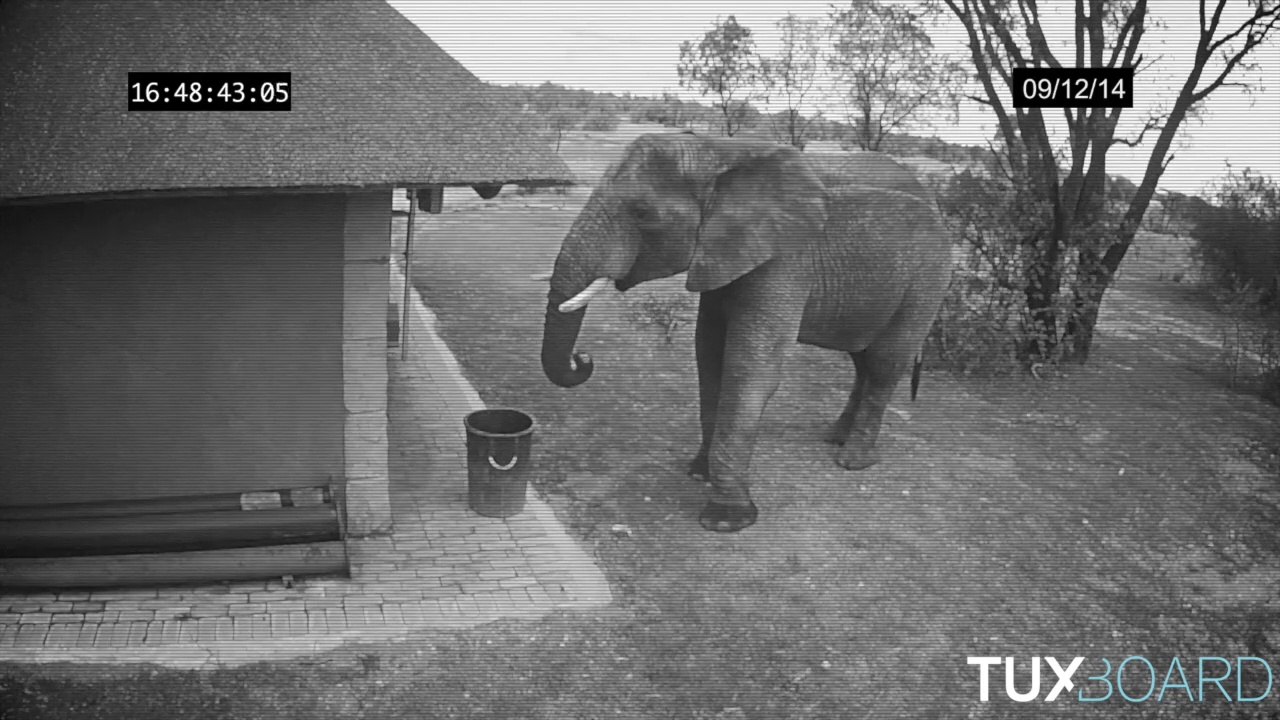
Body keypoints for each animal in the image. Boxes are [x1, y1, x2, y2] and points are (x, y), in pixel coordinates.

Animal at [538, 131, 952, 533]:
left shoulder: (784, 262)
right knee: (861, 360)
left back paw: (851, 461)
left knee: (883, 362)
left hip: (927, 284)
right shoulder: (722, 257)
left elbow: (748, 369)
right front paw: (698, 473)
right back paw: (834, 438)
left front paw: (726, 519)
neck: (721, 152)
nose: (582, 358)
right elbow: (709, 357)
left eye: (642, 212)